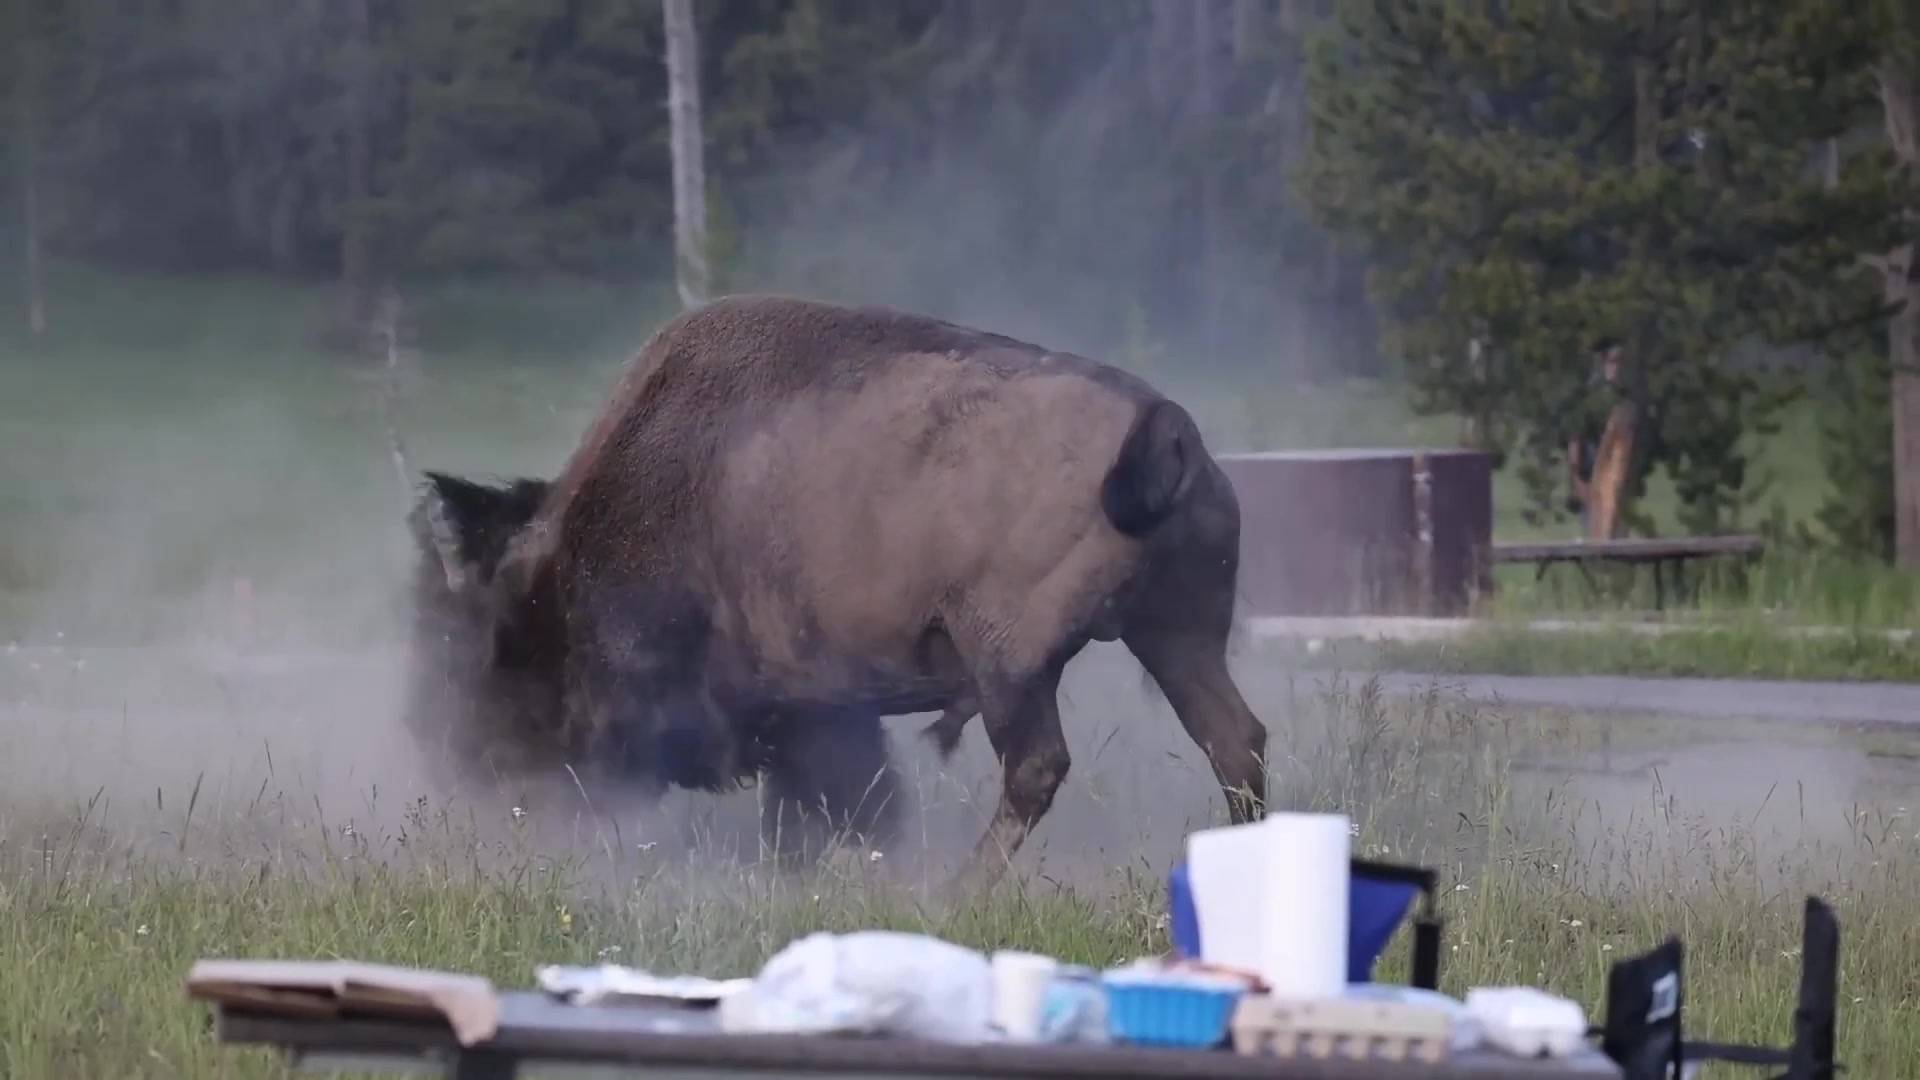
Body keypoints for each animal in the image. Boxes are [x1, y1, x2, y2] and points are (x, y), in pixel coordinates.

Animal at [400, 295, 1268, 887]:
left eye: (468, 632)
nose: (456, 757)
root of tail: (1162, 421)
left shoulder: (800, 714)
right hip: (1176, 637)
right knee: (1235, 740)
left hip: (1013, 667)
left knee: (1038, 767)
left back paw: (955, 892)